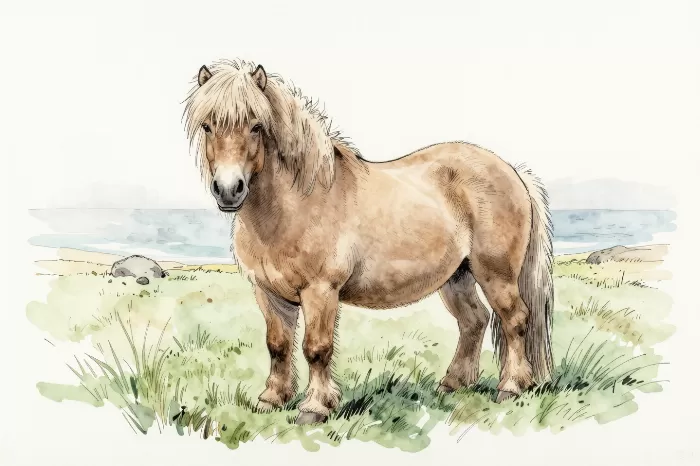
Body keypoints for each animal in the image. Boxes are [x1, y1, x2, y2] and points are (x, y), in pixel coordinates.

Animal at [182, 59, 554, 425]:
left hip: (495, 274)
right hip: (456, 277)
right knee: (474, 321)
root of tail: (512, 172)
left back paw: (511, 387)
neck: (297, 204)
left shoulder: (320, 291)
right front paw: (272, 399)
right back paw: (452, 385)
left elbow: (316, 348)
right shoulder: (268, 292)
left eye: (256, 126)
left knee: (515, 320)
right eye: (207, 126)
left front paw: (314, 407)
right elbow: (277, 345)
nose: (229, 189)